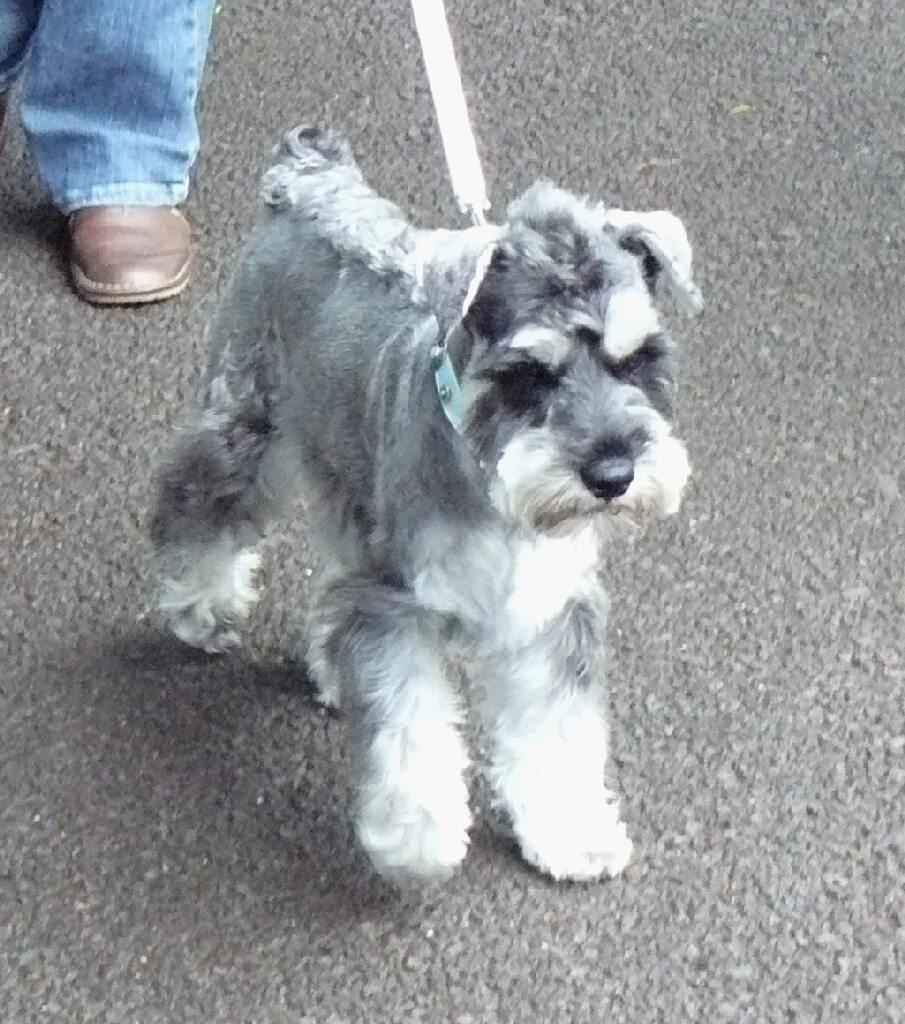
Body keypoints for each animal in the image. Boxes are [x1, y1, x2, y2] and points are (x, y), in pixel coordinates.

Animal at [149, 124, 702, 884]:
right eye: (527, 373)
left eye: (638, 359)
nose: (613, 474)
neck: (495, 493)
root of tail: (310, 178)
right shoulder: (397, 608)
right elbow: (407, 731)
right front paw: (416, 841)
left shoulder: (552, 616)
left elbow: (557, 736)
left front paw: (570, 833)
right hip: (245, 420)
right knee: (198, 505)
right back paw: (199, 609)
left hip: (348, 488)